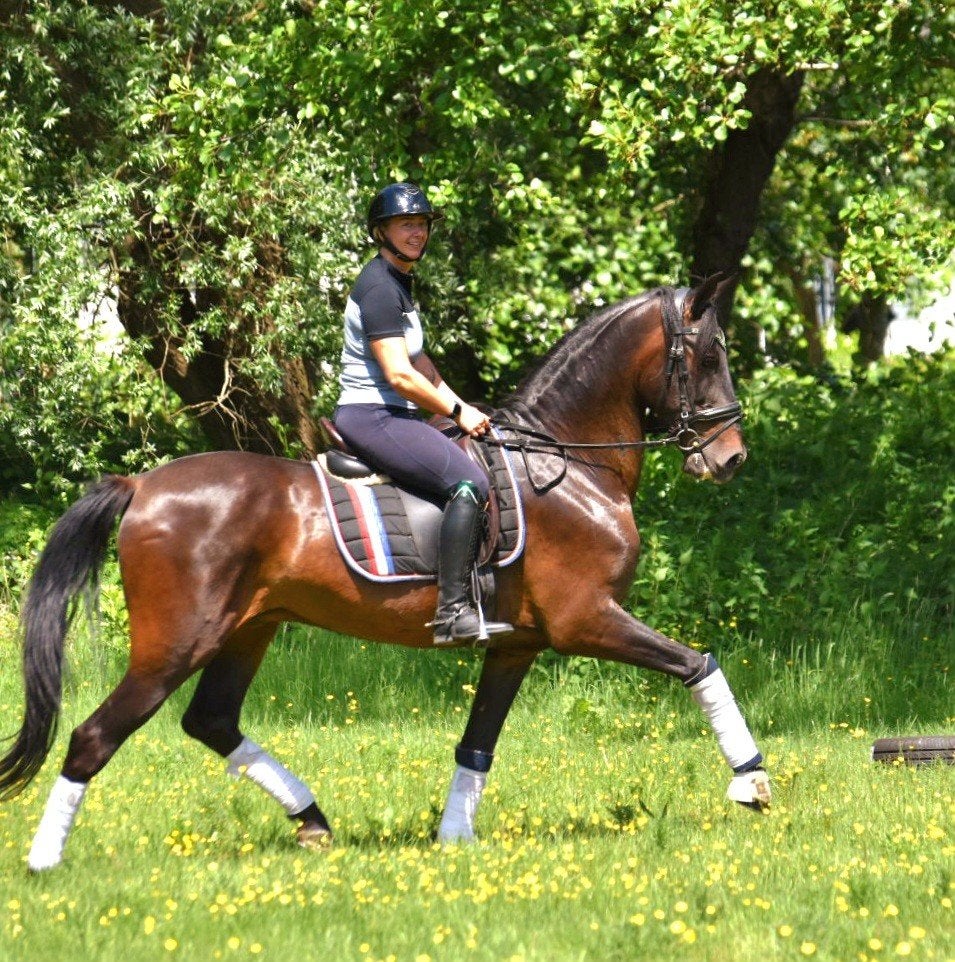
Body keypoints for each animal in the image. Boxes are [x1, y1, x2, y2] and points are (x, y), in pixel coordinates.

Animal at [0, 274, 770, 870]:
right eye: (709, 354)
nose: (731, 457)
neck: (567, 463)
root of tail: (141, 486)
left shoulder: (518, 645)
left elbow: (477, 744)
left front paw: (454, 839)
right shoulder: (588, 621)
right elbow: (698, 663)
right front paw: (752, 781)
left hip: (246, 631)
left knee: (211, 720)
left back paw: (312, 820)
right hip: (173, 645)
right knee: (94, 737)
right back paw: (45, 863)